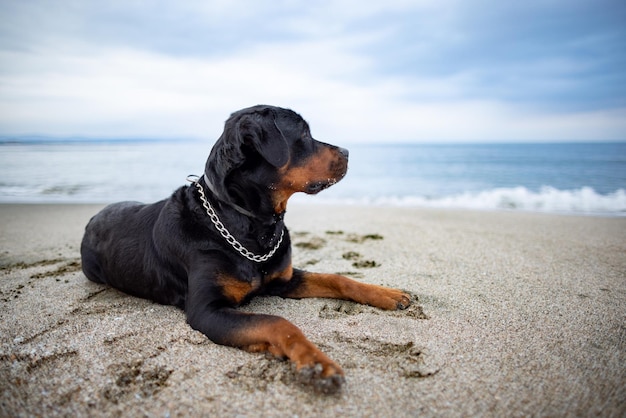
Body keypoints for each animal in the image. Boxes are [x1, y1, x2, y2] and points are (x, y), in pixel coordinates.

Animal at [80, 104, 412, 392]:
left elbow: (337, 278)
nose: (347, 152)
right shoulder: (206, 310)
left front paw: (388, 294)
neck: (249, 224)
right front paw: (317, 364)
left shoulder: (283, 278)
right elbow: (278, 322)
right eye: (304, 134)